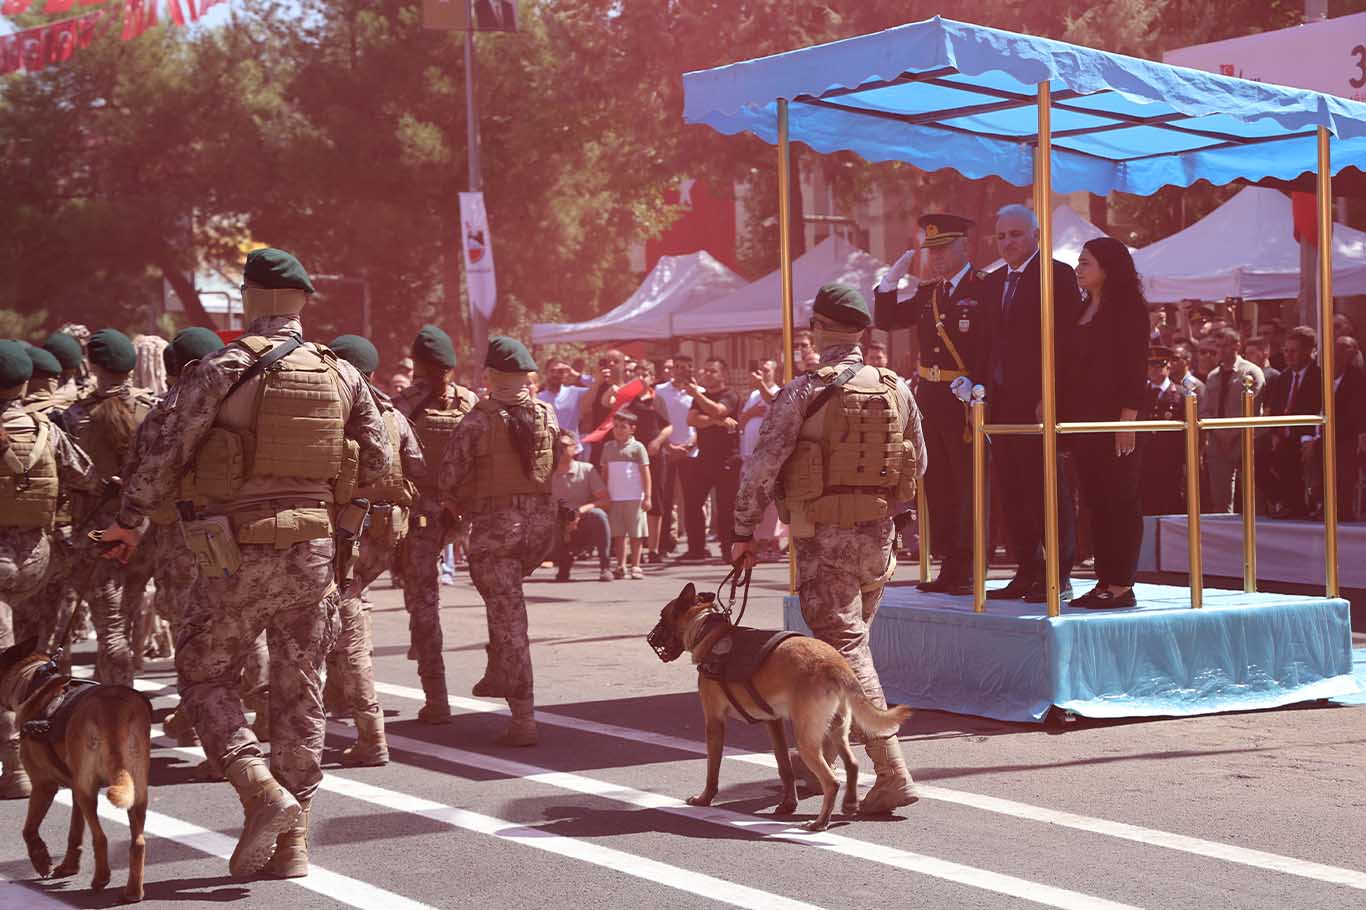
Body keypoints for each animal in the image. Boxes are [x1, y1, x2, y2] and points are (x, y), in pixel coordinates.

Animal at [0, 636, 152, 901]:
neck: (34, 680)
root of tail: (114, 710)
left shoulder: (44, 786)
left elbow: (29, 828)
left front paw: (41, 860)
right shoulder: (74, 789)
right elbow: (75, 830)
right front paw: (69, 866)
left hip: (87, 792)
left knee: (101, 838)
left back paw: (101, 879)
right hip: (134, 792)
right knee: (138, 842)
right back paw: (133, 892)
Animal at [647, 582, 907, 830]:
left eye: (662, 616)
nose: (651, 637)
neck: (706, 631)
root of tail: (836, 664)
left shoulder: (714, 723)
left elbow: (713, 769)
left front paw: (705, 799)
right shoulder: (774, 723)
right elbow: (784, 766)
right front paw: (788, 803)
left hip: (806, 738)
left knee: (832, 781)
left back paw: (820, 822)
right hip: (835, 730)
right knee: (851, 765)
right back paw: (850, 803)